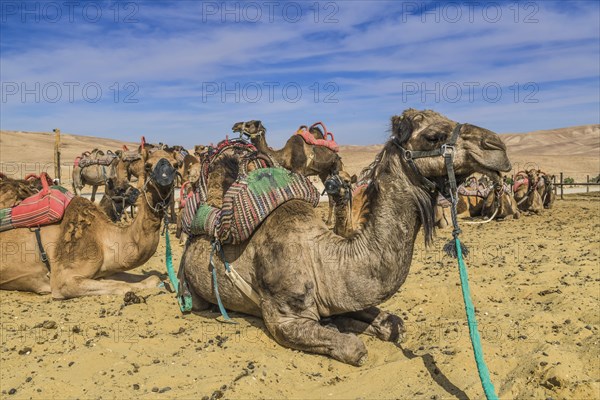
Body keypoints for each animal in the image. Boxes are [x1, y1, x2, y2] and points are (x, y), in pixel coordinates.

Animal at [0, 150, 178, 296]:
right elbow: (122, 286)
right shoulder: (63, 280)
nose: (164, 179)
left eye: (176, 165)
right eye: (148, 166)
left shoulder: (106, 269)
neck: (102, 237)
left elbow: (151, 278)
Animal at [182, 109, 510, 366]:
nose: (498, 146)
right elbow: (353, 347)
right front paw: (346, 332)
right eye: (432, 136)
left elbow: (392, 323)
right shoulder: (283, 318)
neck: (322, 257)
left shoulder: (343, 293)